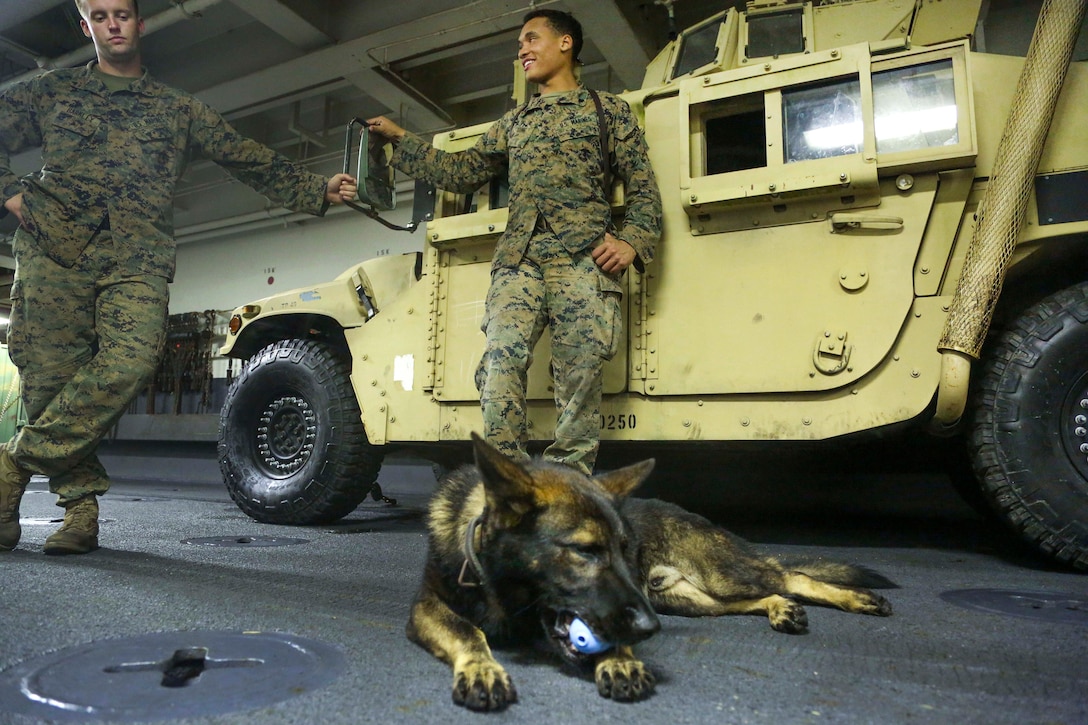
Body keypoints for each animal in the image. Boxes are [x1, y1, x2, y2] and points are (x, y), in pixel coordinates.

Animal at [409, 431, 892, 709]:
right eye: (585, 551)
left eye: (625, 550)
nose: (650, 629)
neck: (501, 586)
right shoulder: (427, 608)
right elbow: (468, 631)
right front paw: (481, 667)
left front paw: (621, 659)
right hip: (691, 601)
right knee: (759, 596)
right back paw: (781, 609)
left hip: (718, 575)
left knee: (792, 575)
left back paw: (857, 598)